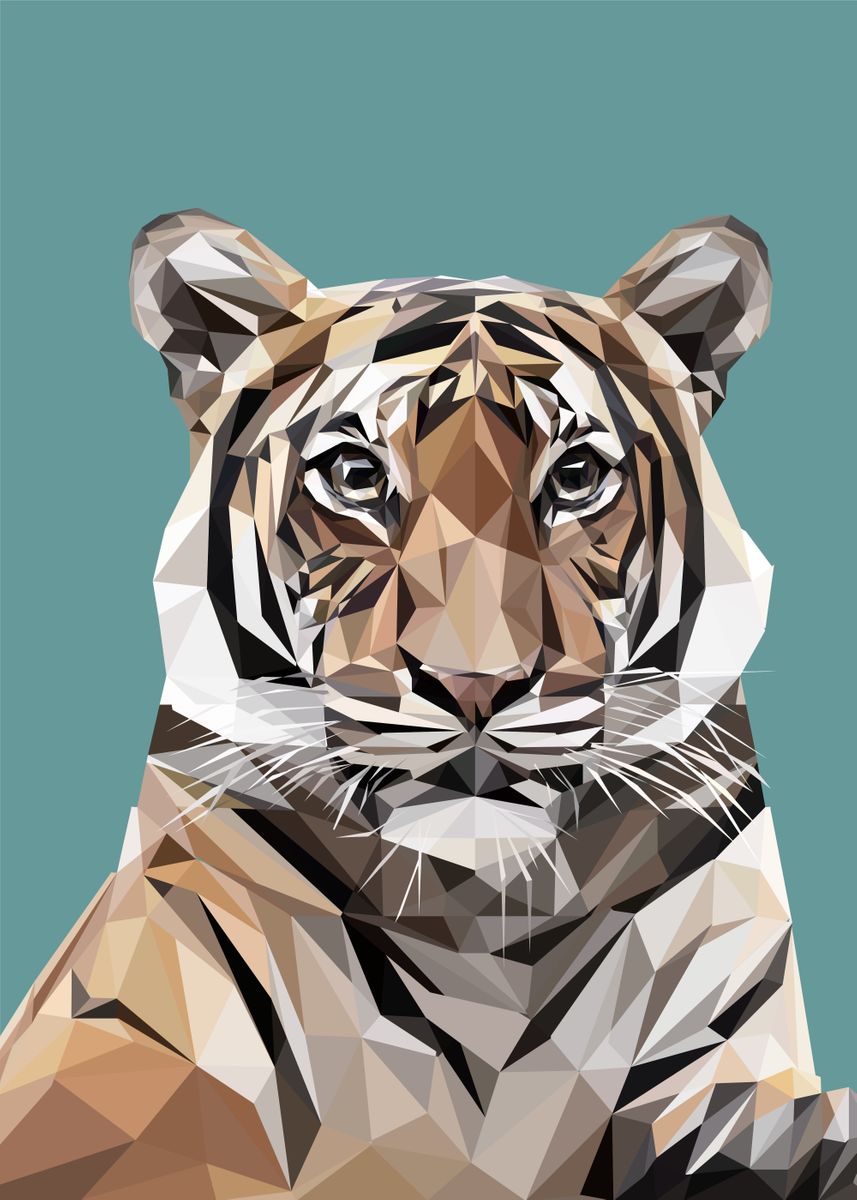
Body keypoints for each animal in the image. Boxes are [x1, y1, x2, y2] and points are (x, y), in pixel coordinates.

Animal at [0, 210, 853, 1200]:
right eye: (355, 474)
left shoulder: (719, 1079)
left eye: (575, 476)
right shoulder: (113, 1068)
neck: (483, 934)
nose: (475, 683)